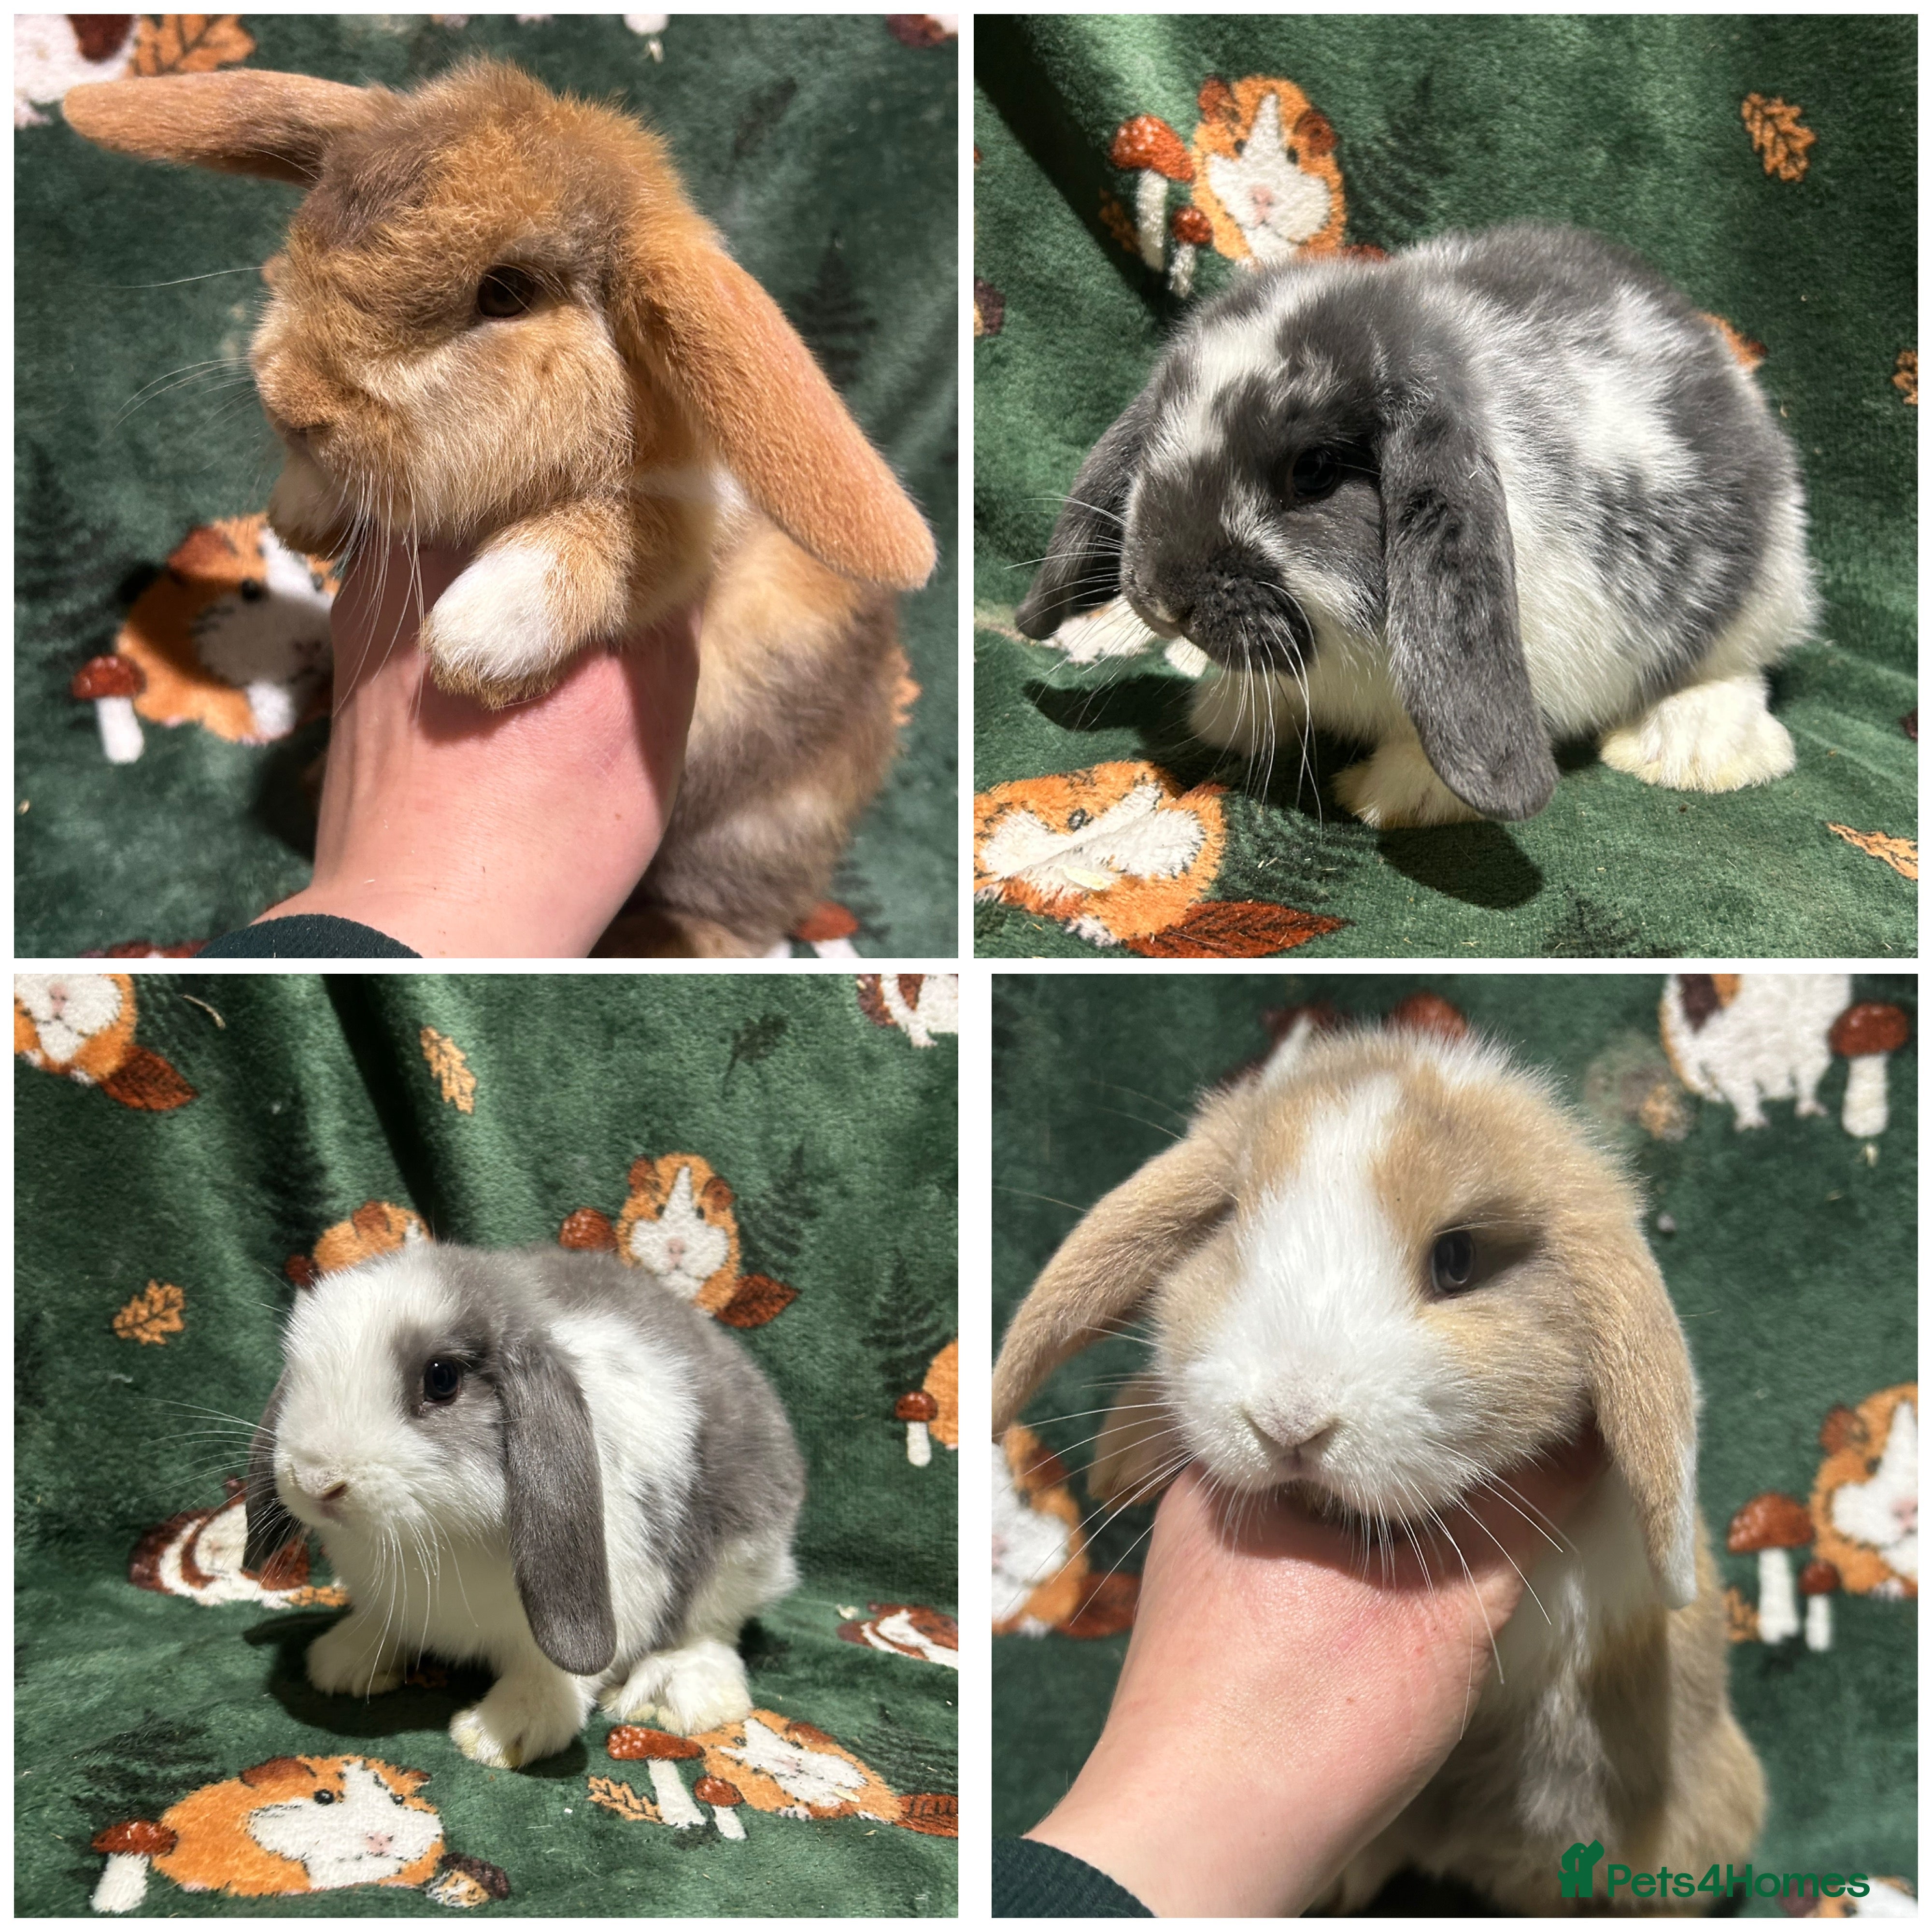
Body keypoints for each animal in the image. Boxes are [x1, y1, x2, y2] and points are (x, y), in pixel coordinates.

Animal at [63, 59, 937, 954]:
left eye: (506, 293)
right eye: (313, 224)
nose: (291, 403)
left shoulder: (699, 520)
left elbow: (627, 534)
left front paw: (480, 632)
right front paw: (301, 509)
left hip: (753, 833)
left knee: (729, 926)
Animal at [244, 1242, 805, 1771]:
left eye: (442, 1379)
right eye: (298, 1369)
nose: (316, 1480)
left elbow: (552, 1673)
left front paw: (504, 1733)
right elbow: (383, 1624)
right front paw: (343, 1662)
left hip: (742, 1555)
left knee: (713, 1630)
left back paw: (680, 1693)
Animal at [1015, 223, 1818, 829]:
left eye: (1314, 471)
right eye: (1159, 431)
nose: (1161, 596)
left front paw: (1389, 800)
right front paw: (1220, 714)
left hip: (1760, 593)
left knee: (1736, 667)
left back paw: (1692, 750)